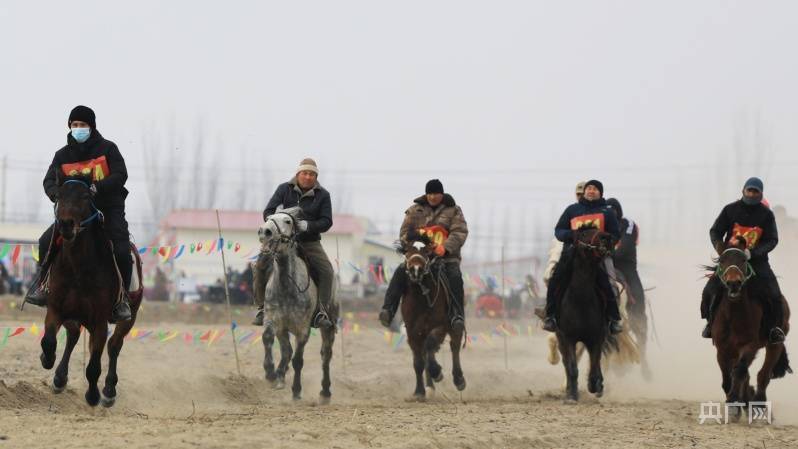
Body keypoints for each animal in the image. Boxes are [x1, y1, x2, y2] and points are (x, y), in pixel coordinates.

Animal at [39, 178, 144, 406]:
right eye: (58, 195)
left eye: (86, 196)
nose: (66, 224)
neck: (79, 266)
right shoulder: (56, 309)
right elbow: (49, 341)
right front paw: (47, 360)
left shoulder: (99, 321)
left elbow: (94, 365)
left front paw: (94, 395)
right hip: (75, 315)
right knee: (73, 336)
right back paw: (60, 378)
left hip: (129, 317)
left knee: (114, 345)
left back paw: (109, 391)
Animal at [400, 234, 468, 400]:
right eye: (407, 250)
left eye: (426, 251)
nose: (415, 269)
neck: (422, 298)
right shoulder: (412, 332)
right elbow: (418, 361)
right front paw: (419, 392)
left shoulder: (440, 326)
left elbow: (431, 346)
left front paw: (437, 371)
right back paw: (430, 385)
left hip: (454, 325)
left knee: (454, 347)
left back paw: (458, 379)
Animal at [716, 238, 792, 420]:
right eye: (722, 260)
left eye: (744, 260)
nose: (734, 283)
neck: (735, 315)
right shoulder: (722, 349)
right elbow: (727, 378)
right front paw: (736, 404)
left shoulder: (750, 346)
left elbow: (740, 372)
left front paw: (734, 404)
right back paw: (747, 401)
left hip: (775, 344)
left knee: (763, 375)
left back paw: (758, 405)